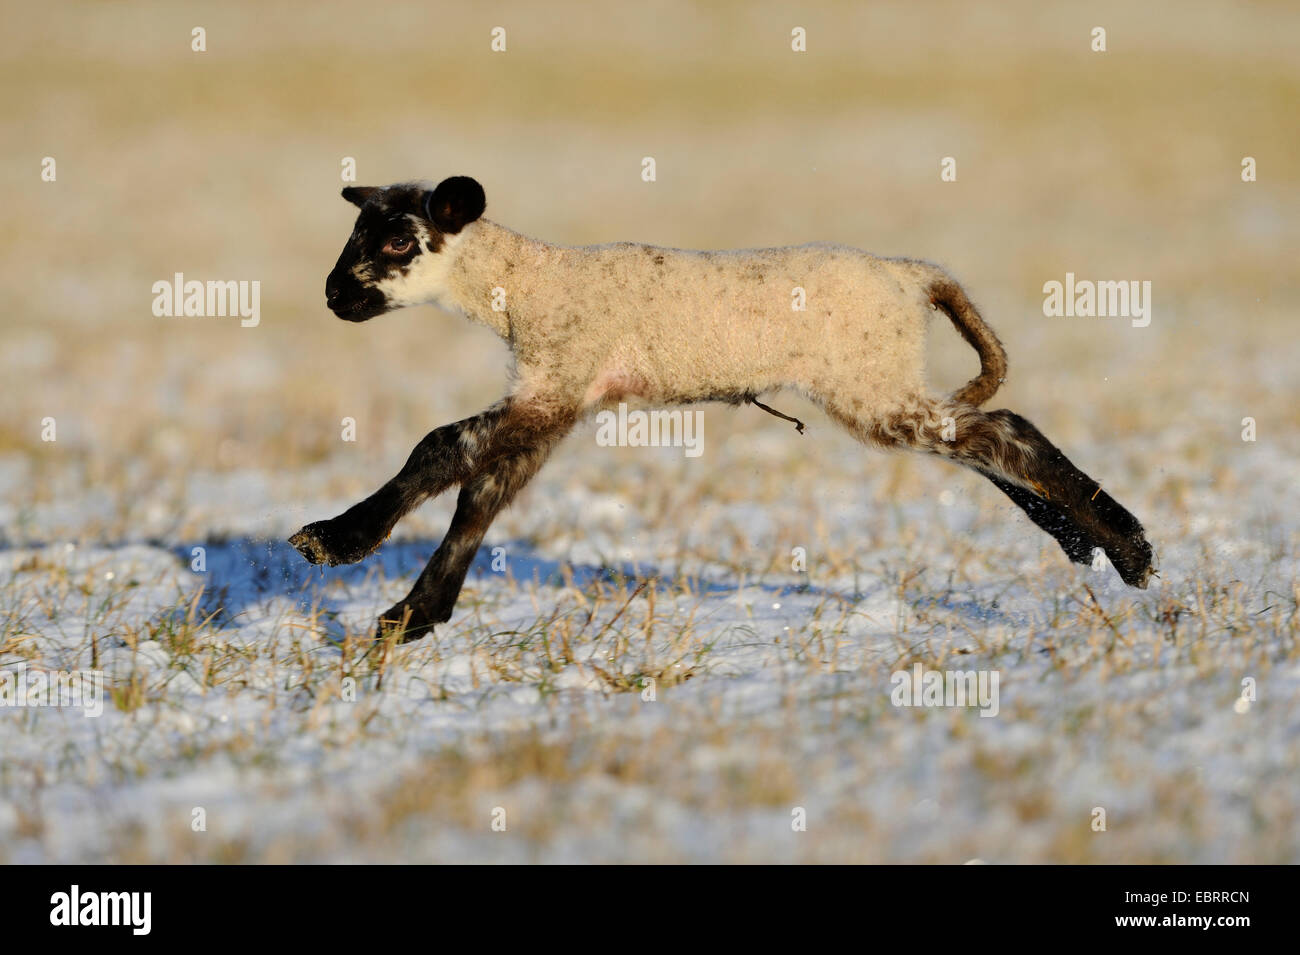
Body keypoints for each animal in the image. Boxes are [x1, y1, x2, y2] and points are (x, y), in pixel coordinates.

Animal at [290, 176, 1155, 642]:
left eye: (397, 241)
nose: (331, 295)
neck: (529, 284)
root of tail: (913, 273)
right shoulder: (559, 398)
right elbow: (480, 495)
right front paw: (412, 616)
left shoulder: (558, 380)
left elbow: (443, 448)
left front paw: (337, 540)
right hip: (884, 386)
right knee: (988, 442)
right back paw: (1087, 540)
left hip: (871, 386)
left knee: (1003, 432)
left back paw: (1131, 549)